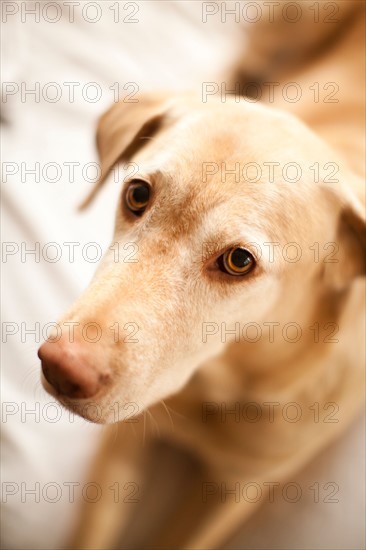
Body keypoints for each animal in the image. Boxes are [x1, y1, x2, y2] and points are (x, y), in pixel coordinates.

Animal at [38, 2, 364, 548]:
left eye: (239, 261)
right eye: (137, 194)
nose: (61, 368)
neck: (224, 380)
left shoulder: (238, 492)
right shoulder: (125, 435)